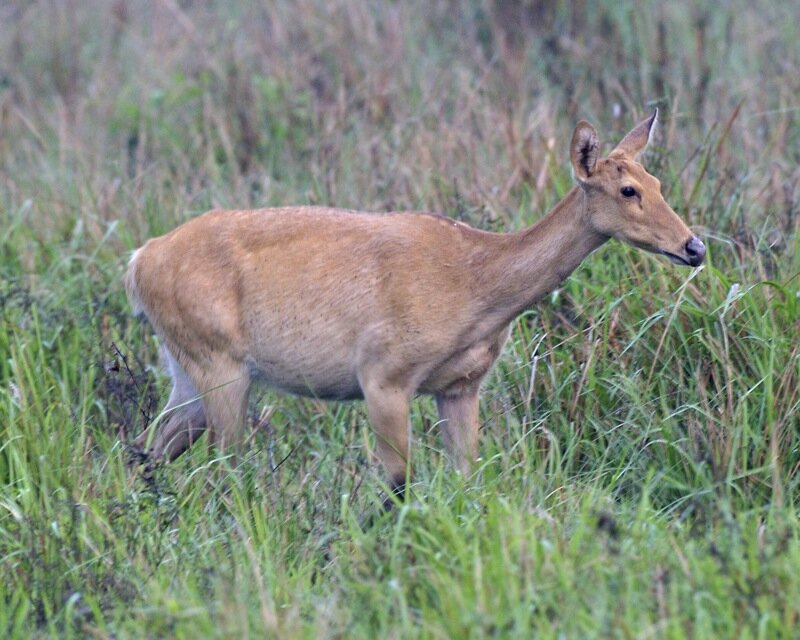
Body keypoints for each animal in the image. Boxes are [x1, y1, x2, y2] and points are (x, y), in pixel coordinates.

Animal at [125, 109, 708, 500]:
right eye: (628, 189)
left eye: (657, 180)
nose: (694, 247)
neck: (475, 279)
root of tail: (140, 258)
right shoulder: (383, 377)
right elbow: (399, 485)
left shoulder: (460, 387)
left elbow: (467, 477)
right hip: (220, 368)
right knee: (225, 468)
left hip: (187, 374)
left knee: (145, 449)